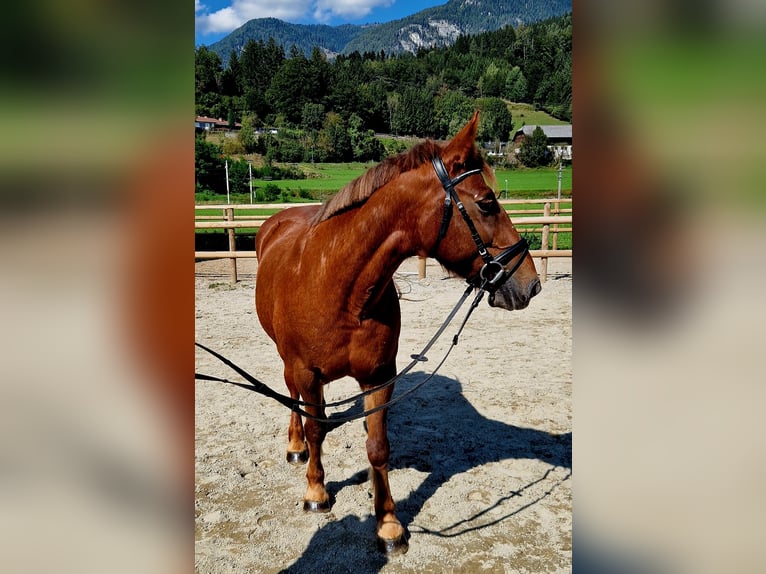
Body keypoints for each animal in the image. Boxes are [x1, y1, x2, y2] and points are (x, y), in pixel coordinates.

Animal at [255, 110, 544, 556]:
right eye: (487, 202)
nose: (530, 284)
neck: (340, 288)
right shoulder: (307, 372)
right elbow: (317, 428)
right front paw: (316, 492)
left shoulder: (378, 377)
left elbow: (378, 447)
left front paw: (388, 525)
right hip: (289, 364)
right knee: (293, 400)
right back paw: (295, 446)